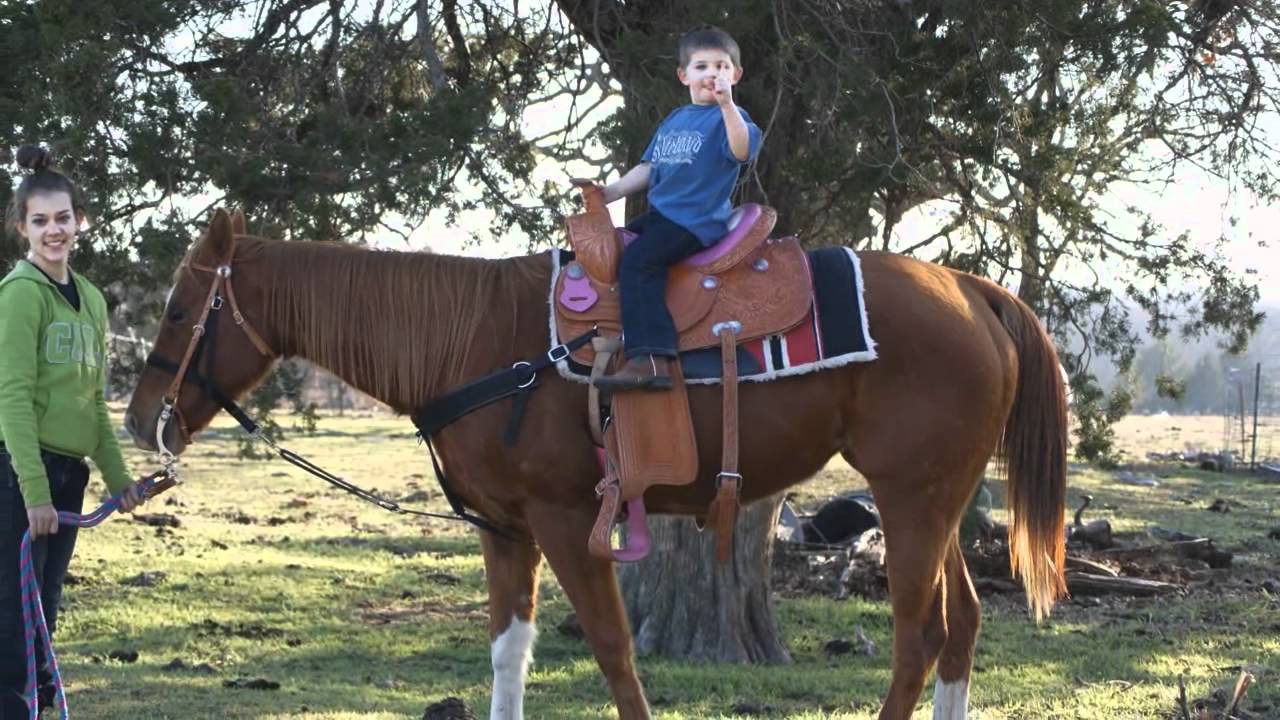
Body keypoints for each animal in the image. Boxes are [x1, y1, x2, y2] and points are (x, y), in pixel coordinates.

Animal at [124, 208, 1068, 720]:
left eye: (176, 309)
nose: (138, 421)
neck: (477, 343)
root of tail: (971, 290)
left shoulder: (568, 520)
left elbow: (613, 649)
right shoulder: (505, 530)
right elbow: (509, 652)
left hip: (910, 500)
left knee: (919, 636)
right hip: (935, 502)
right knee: (961, 626)